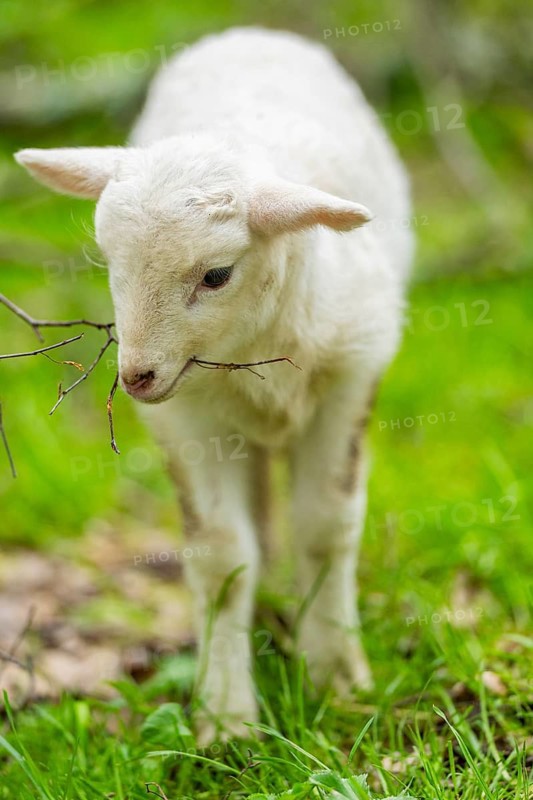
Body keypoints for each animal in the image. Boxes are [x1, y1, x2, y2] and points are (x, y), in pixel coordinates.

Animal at [15, 27, 414, 743]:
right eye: (109, 264)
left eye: (217, 275)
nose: (136, 376)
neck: (257, 349)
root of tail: (250, 32)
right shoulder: (188, 414)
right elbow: (222, 554)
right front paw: (225, 718)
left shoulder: (353, 375)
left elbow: (326, 525)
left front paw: (337, 677)